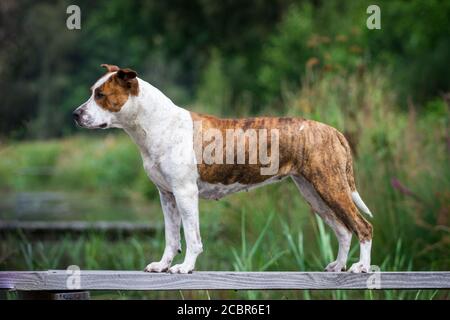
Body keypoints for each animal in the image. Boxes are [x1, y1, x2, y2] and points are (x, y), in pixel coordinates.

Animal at [72, 63, 372, 274]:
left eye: (101, 95)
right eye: (91, 92)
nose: (75, 114)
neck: (155, 124)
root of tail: (332, 130)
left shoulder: (185, 193)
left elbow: (192, 237)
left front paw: (185, 267)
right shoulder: (166, 195)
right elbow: (171, 237)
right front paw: (162, 265)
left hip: (331, 186)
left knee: (362, 226)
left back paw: (362, 267)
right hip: (314, 192)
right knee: (343, 230)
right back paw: (338, 265)